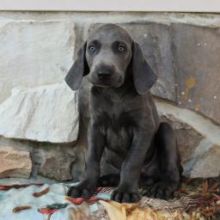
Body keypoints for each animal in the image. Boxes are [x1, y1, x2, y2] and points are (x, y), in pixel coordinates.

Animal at [65, 24, 182, 203]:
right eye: (92, 48)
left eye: (121, 48)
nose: (103, 73)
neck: (114, 94)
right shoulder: (95, 128)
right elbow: (91, 160)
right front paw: (84, 185)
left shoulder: (143, 128)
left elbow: (131, 162)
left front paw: (126, 190)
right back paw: (108, 179)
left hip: (166, 131)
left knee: (171, 172)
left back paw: (162, 187)